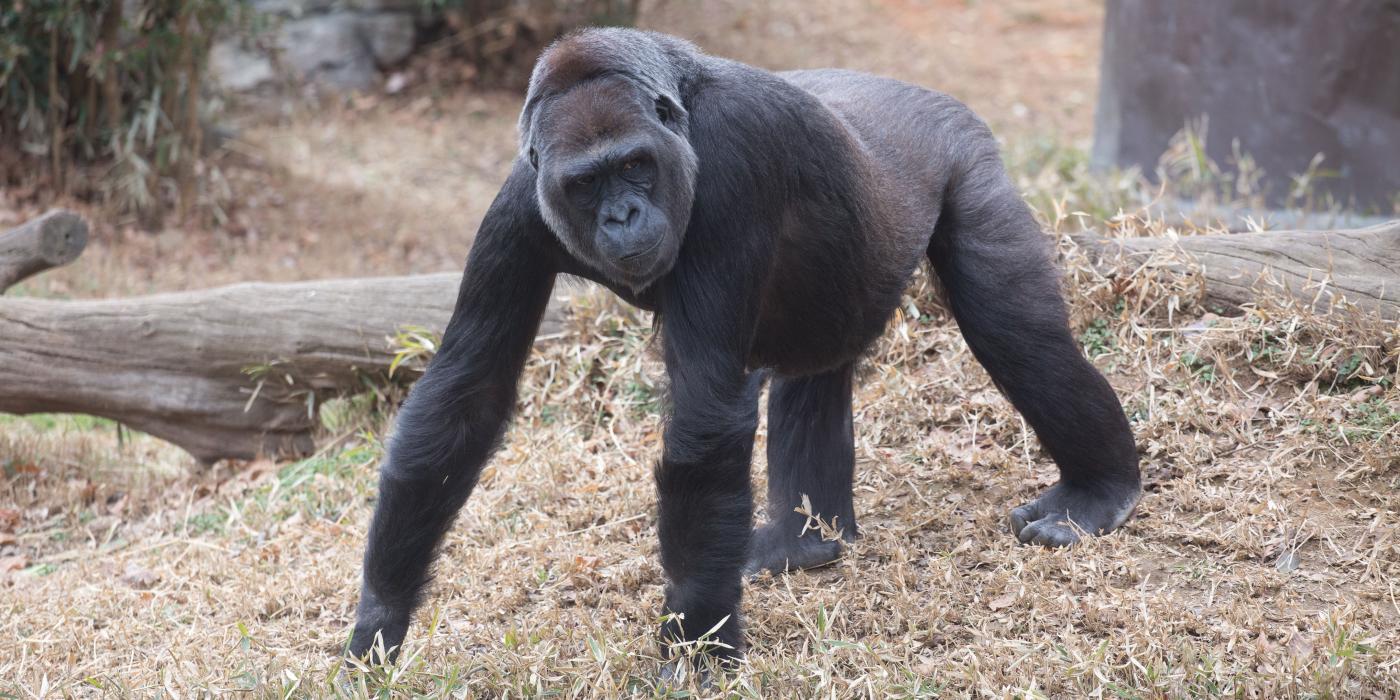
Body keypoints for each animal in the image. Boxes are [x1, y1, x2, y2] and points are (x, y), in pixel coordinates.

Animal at [347, 27, 1136, 660]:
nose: (623, 215)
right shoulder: (519, 204)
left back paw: (1099, 491)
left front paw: (696, 645)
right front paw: (379, 618)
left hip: (964, 155)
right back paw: (802, 539)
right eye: (587, 182)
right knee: (812, 372)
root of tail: (916, 94)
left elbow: (702, 419)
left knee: (1016, 334)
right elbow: (465, 397)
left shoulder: (730, 167)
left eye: (634, 166)